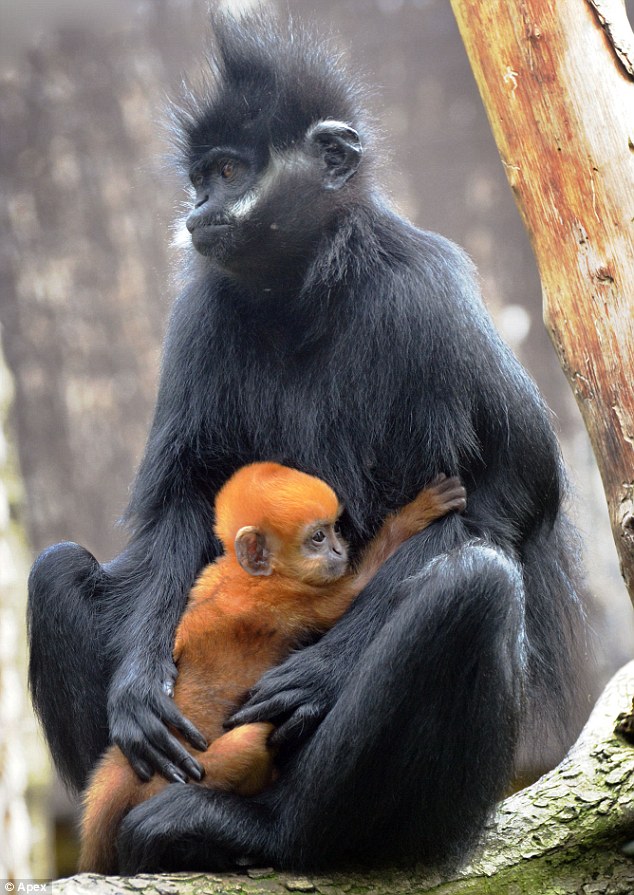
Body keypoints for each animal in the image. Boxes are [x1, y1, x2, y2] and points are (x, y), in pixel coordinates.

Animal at [78, 462, 467, 873]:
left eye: (335, 530)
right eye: (318, 538)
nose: (338, 548)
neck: (248, 573)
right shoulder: (294, 596)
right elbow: (356, 587)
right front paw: (421, 510)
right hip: (205, 766)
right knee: (252, 738)